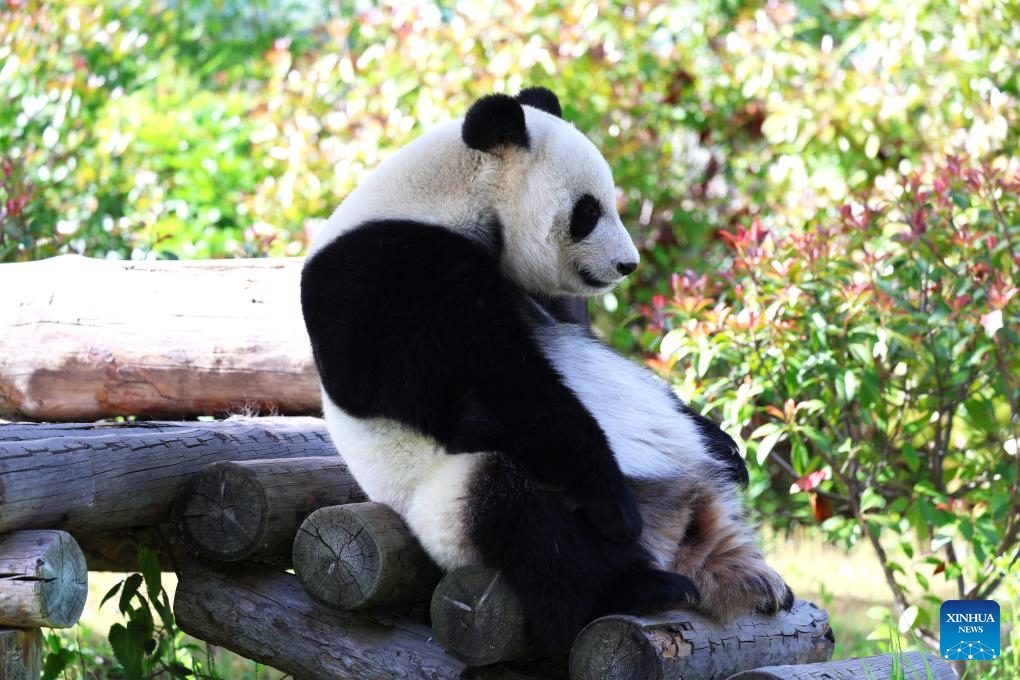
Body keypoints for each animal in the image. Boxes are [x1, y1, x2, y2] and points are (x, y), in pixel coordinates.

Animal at [297, 86, 791, 652]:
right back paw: (642, 585)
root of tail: (670, 539)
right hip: (452, 503)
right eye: (588, 211)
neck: (447, 197)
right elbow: (494, 387)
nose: (628, 265)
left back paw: (746, 576)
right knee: (526, 521)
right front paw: (614, 504)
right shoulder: (383, 277)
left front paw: (725, 443)